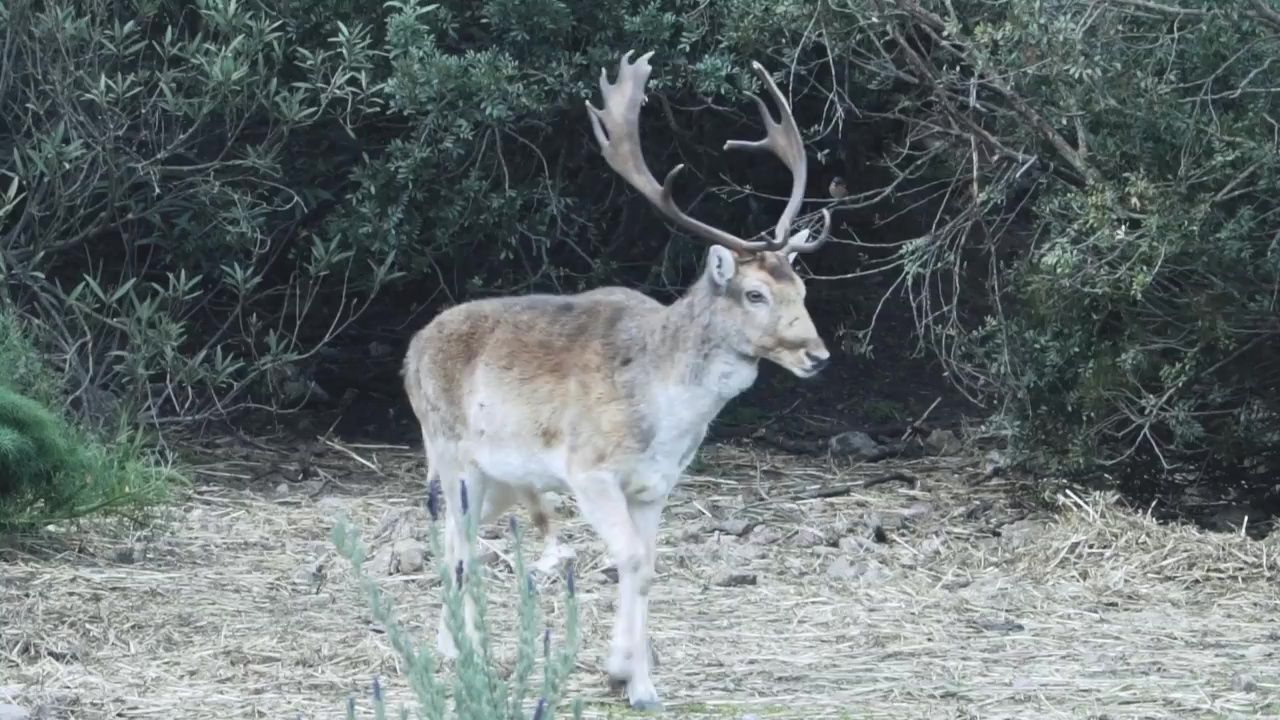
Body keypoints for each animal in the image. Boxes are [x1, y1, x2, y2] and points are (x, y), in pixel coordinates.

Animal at [404, 49, 834, 707]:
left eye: (804, 289)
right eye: (755, 293)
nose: (817, 354)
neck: (665, 411)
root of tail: (411, 350)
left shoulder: (656, 484)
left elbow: (649, 562)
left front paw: (631, 674)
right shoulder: (588, 468)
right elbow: (629, 557)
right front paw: (631, 680)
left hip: (496, 477)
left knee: (460, 542)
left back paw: (459, 647)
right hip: (449, 452)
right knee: (458, 545)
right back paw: (465, 654)